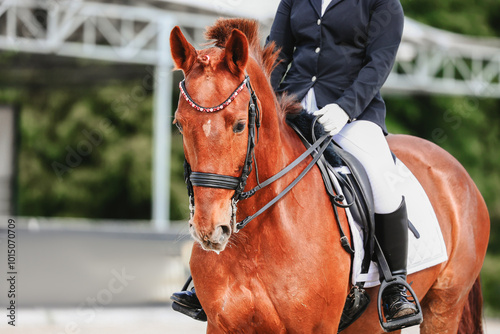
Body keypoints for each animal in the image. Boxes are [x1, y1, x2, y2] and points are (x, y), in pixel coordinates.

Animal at [170, 18, 490, 334]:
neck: (255, 237)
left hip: (444, 305)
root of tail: (454, 166)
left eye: (239, 125)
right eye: (179, 125)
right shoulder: (221, 325)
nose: (209, 229)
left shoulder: (317, 326)